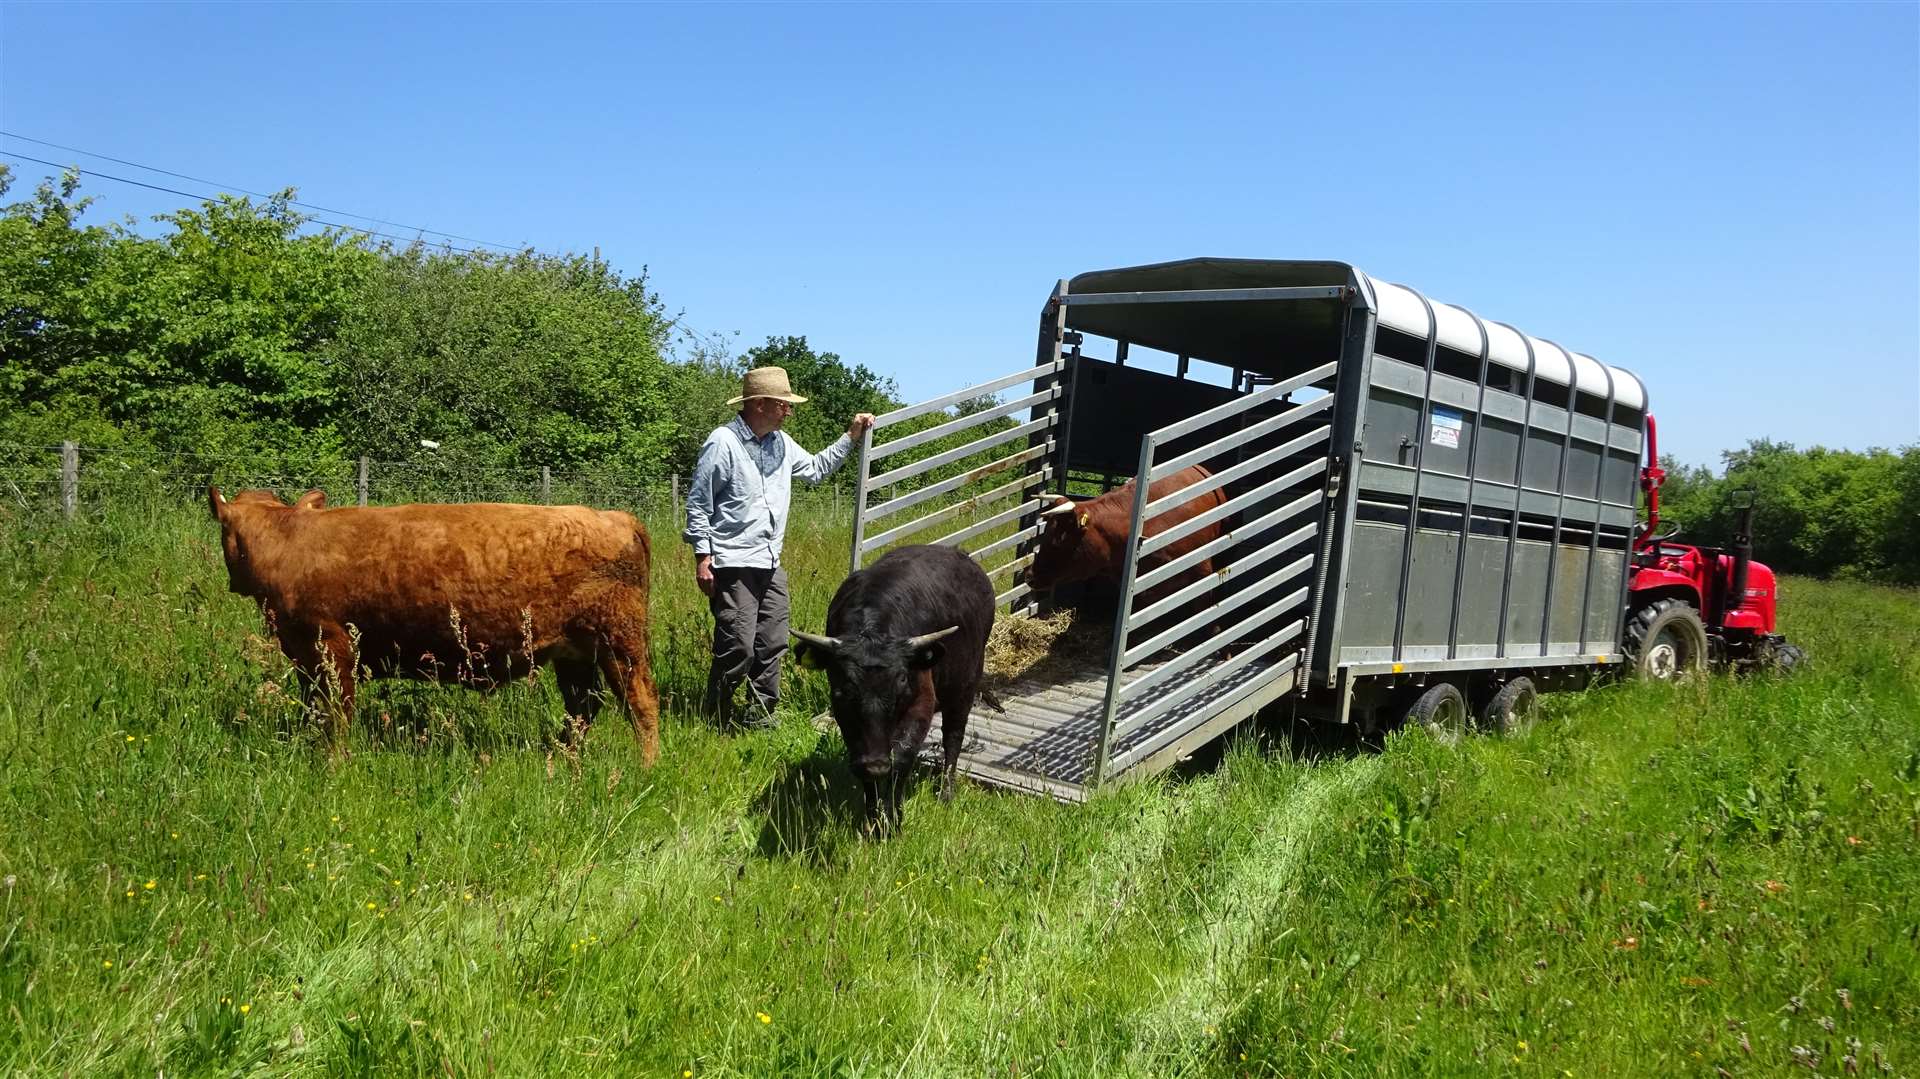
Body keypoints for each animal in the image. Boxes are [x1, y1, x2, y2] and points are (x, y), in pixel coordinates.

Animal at [206, 483, 660, 760]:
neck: (289, 541)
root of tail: (615, 517)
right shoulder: (304, 658)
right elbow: (312, 708)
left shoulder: (333, 648)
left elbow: (337, 713)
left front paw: (334, 761)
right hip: (575, 655)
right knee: (583, 707)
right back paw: (563, 759)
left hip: (620, 644)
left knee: (641, 704)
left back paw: (645, 767)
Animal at [794, 541, 998, 837]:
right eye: (844, 684)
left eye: (902, 679)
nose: (876, 763)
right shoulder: (847, 719)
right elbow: (864, 767)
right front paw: (873, 820)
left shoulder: (921, 705)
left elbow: (901, 760)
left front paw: (893, 821)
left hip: (964, 689)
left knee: (953, 738)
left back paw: (946, 792)